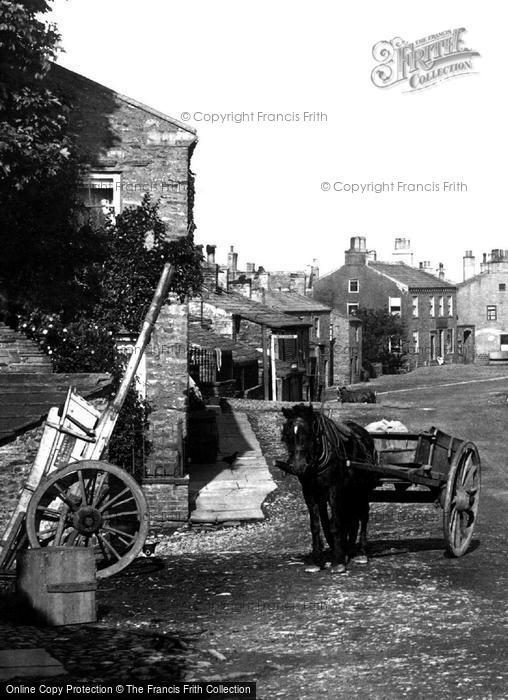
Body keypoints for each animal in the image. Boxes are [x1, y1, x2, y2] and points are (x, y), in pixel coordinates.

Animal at [280, 404, 380, 576]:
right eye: (287, 434)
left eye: (308, 433)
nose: (298, 467)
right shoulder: (309, 491)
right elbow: (316, 525)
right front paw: (317, 560)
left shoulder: (334, 488)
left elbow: (335, 524)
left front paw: (338, 561)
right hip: (349, 492)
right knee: (351, 518)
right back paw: (348, 548)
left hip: (361, 489)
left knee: (363, 516)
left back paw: (361, 552)